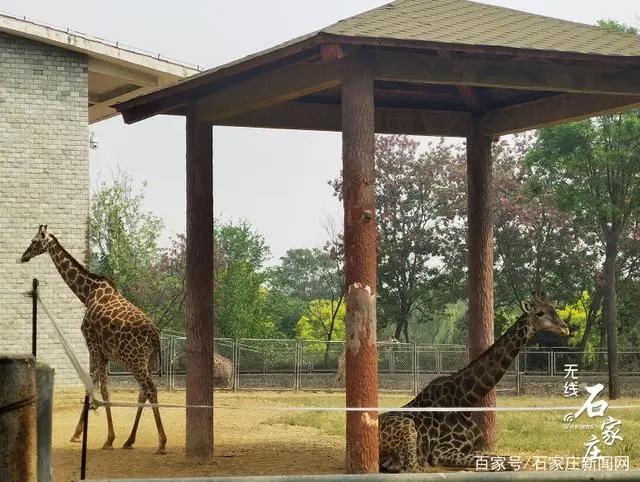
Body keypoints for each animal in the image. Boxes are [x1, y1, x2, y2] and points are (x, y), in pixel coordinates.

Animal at [21, 226, 168, 456]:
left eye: (35, 241)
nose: (24, 256)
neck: (87, 292)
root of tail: (155, 335)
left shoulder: (92, 345)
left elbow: (97, 387)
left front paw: (103, 438)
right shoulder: (103, 354)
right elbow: (97, 387)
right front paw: (88, 434)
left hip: (134, 359)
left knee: (151, 389)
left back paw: (161, 442)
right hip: (148, 361)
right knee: (143, 392)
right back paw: (129, 440)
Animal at [378, 292, 568, 472]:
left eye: (555, 310)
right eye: (540, 313)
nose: (565, 328)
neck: (465, 400)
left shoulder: (474, 448)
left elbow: (508, 458)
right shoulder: (443, 451)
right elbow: (506, 462)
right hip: (409, 429)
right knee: (412, 467)